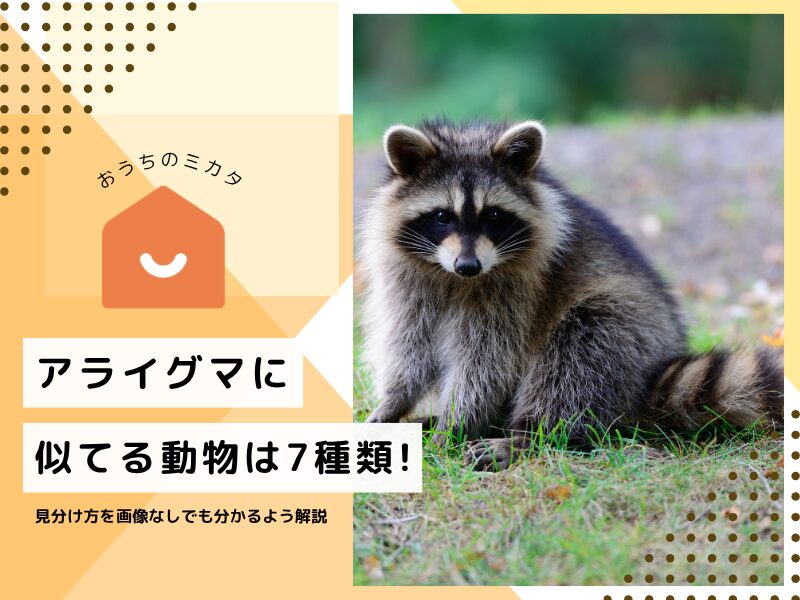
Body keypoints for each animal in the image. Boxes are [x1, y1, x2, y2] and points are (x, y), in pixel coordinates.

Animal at [359, 119, 783, 470]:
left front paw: (458, 423)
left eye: (492, 215)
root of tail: (654, 371)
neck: (453, 278)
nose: (468, 266)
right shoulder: (407, 278)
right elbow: (409, 345)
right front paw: (395, 401)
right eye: (442, 216)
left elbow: (487, 360)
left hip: (627, 328)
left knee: (576, 357)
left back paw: (527, 436)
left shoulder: (517, 290)